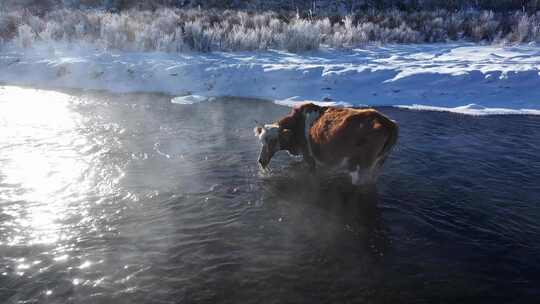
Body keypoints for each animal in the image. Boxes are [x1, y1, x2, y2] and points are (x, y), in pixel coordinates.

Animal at [253, 103, 396, 185]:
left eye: (273, 140)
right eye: (261, 141)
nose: (260, 161)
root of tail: (388, 122)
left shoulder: (309, 157)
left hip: (362, 167)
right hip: (378, 164)